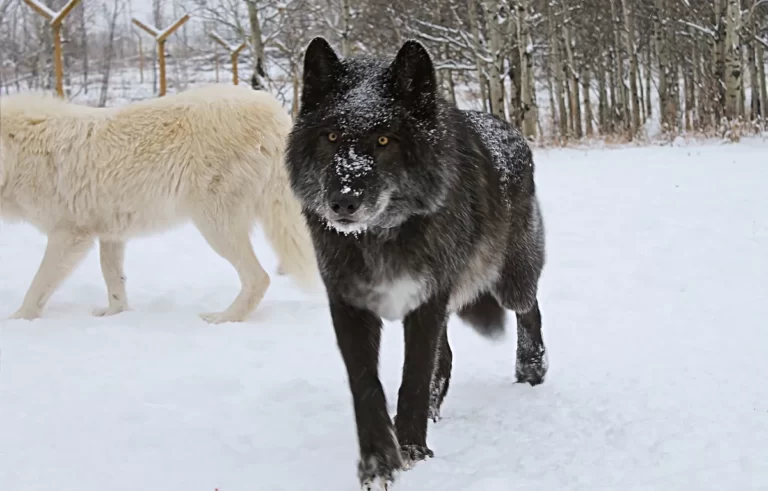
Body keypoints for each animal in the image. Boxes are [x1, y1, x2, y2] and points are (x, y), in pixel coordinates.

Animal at [0, 83, 317, 323]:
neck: (19, 153)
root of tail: (272, 110)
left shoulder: (69, 236)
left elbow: (38, 284)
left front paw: (18, 319)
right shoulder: (110, 233)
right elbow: (113, 280)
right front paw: (115, 314)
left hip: (215, 225)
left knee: (258, 277)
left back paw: (223, 318)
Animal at [284, 38, 548, 489]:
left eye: (384, 140)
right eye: (331, 136)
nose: (342, 202)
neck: (380, 234)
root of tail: (509, 128)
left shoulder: (428, 300)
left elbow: (414, 376)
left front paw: (410, 447)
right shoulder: (349, 304)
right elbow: (366, 385)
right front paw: (378, 461)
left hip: (509, 281)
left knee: (529, 308)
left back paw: (531, 367)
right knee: (449, 356)